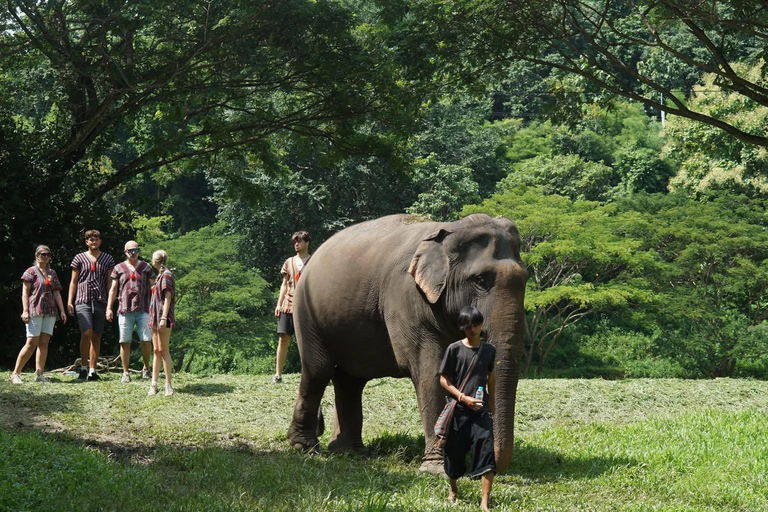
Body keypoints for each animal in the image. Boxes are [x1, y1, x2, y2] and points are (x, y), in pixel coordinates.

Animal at [287, 213, 528, 474]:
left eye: (525, 280)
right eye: (481, 280)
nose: (494, 465)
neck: (448, 230)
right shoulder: (405, 299)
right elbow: (430, 372)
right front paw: (437, 470)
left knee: (350, 381)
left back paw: (348, 451)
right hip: (305, 311)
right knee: (318, 370)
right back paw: (304, 446)